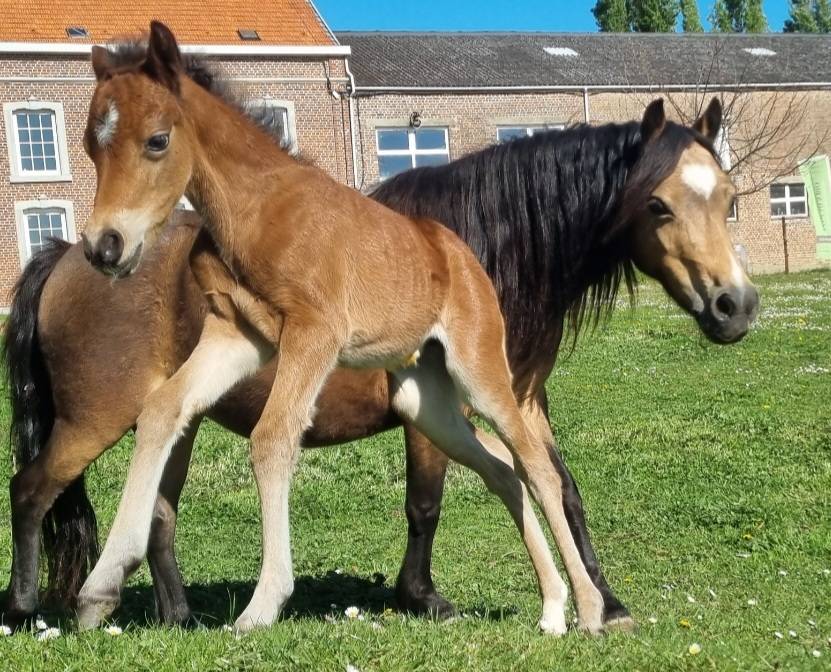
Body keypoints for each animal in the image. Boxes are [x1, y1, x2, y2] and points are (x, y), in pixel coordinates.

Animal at [3, 23, 758, 633]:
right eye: (657, 205)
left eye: (729, 197)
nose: (737, 305)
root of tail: (59, 255)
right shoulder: (274, 345)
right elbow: (398, 489)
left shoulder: (464, 381)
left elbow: (546, 485)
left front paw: (604, 603)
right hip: (109, 412)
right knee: (41, 487)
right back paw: (42, 605)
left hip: (440, 392)